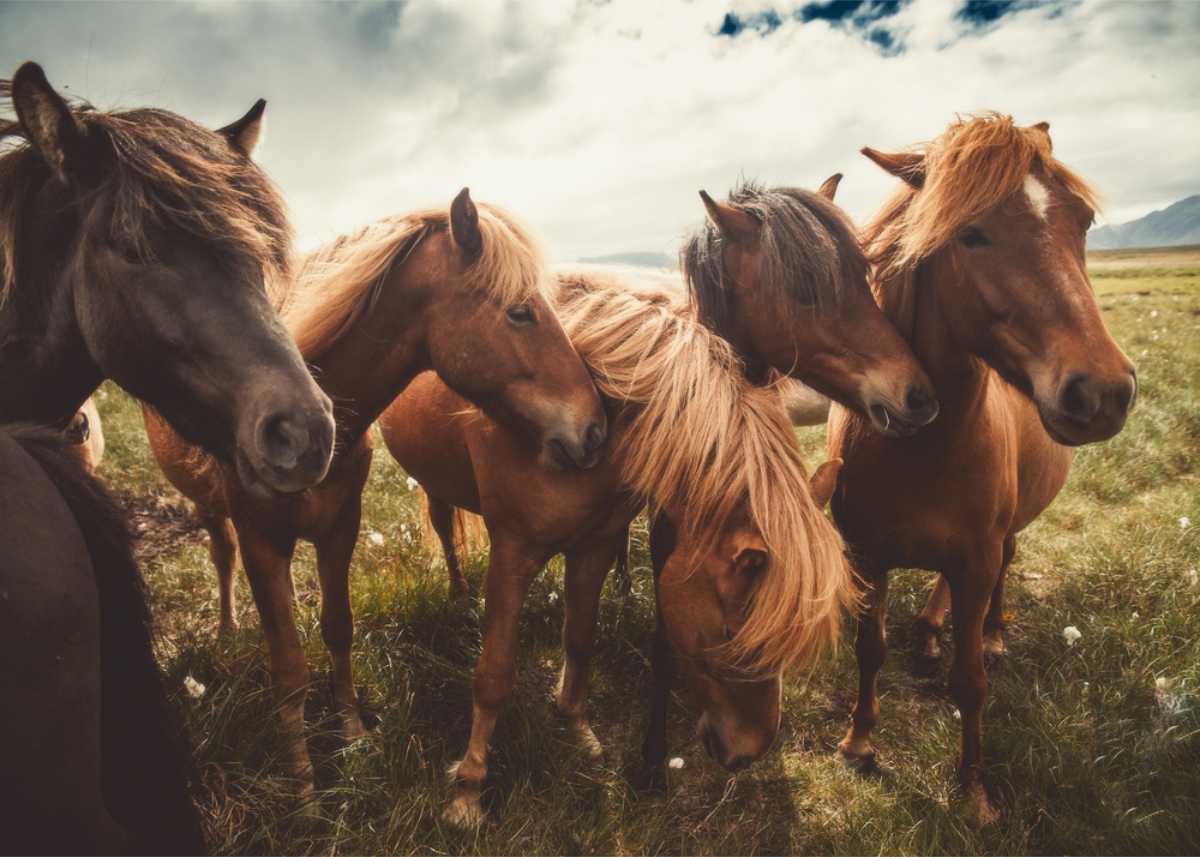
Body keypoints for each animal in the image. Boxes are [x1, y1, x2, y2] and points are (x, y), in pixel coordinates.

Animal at [144, 191, 606, 813]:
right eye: (519, 312)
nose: (594, 428)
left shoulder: (341, 526)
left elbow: (338, 629)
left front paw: (354, 737)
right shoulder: (264, 542)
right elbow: (288, 669)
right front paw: (306, 789)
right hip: (211, 512)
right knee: (222, 556)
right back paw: (226, 628)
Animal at [380, 269, 857, 827]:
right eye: (733, 635)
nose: (748, 753)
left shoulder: (597, 544)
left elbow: (580, 641)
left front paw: (576, 726)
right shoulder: (513, 554)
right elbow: (493, 675)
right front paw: (468, 791)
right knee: (443, 529)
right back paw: (457, 593)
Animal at [827, 115, 1137, 825]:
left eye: (1082, 222)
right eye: (970, 232)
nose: (1105, 392)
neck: (917, 445)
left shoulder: (978, 555)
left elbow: (970, 681)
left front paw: (972, 790)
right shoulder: (867, 555)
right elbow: (868, 650)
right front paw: (859, 742)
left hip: (1007, 536)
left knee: (1003, 576)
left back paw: (990, 632)